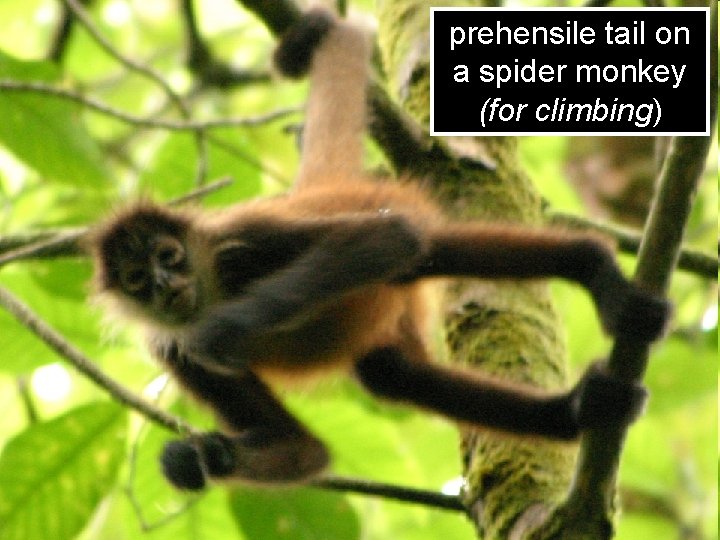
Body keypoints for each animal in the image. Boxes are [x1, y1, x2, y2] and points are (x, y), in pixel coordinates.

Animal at [87, 9, 670, 491]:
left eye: (168, 256)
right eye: (136, 279)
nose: (164, 285)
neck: (211, 288)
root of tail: (319, 191)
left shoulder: (246, 236)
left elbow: (392, 238)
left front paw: (226, 329)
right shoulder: (168, 347)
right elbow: (309, 450)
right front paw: (201, 461)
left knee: (423, 247)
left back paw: (595, 269)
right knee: (393, 374)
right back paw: (579, 410)